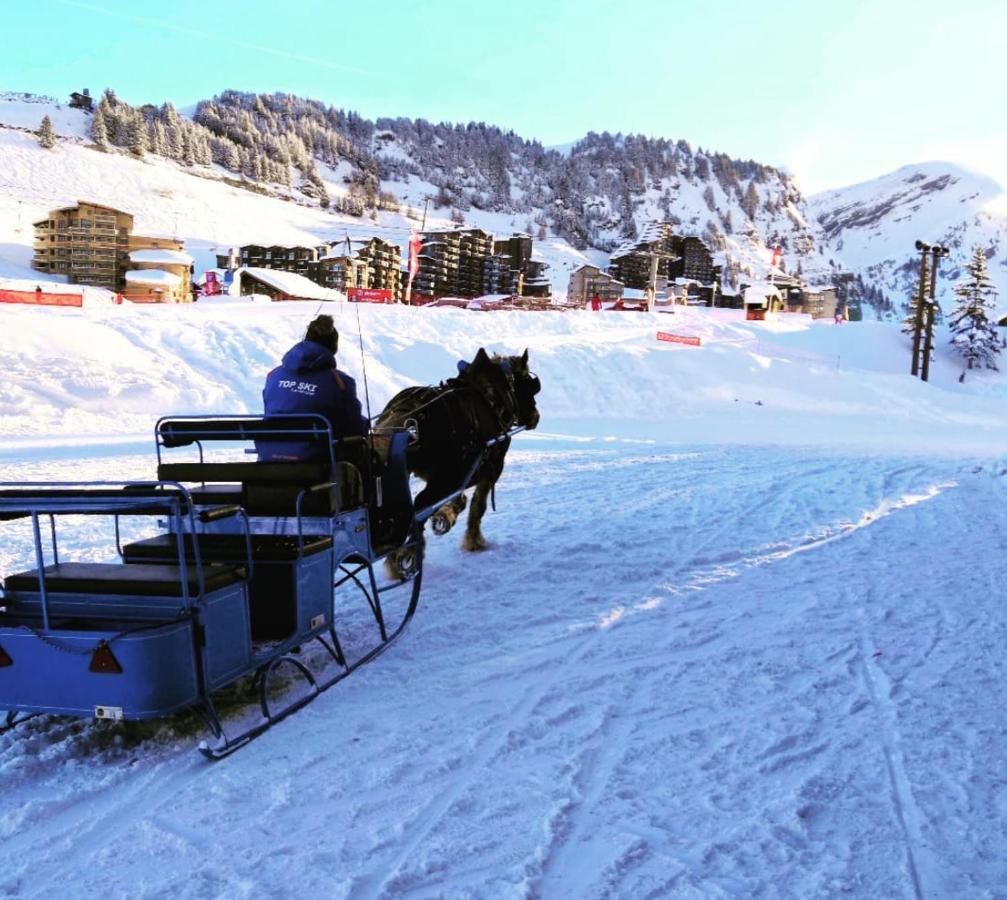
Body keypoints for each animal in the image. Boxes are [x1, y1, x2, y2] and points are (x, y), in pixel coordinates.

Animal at [374, 346, 539, 571]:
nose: (535, 416)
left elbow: (459, 500)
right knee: (417, 509)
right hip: (444, 478)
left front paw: (445, 517)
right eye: (530, 385)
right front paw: (474, 540)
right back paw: (405, 557)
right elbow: (478, 507)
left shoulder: (457, 475)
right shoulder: (489, 469)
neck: (493, 398)